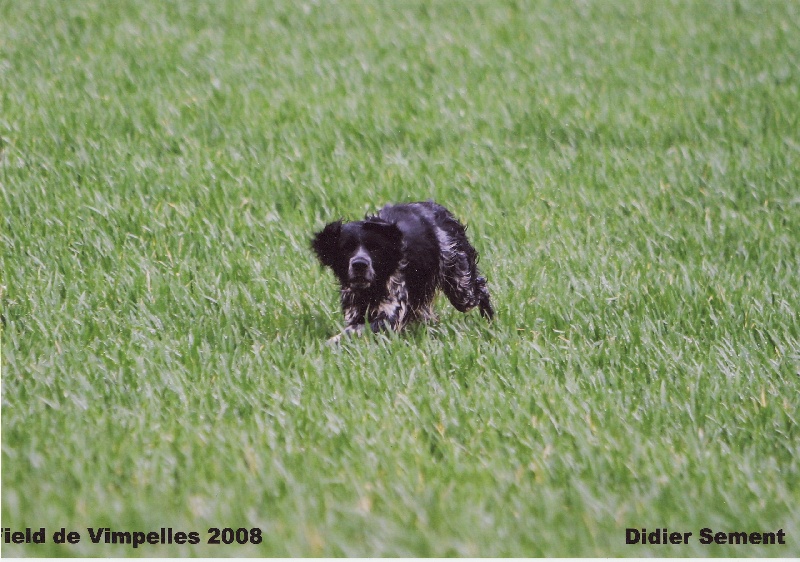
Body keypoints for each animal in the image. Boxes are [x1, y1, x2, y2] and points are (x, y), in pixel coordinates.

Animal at [311, 201, 493, 342]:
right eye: (346, 248)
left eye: (375, 248)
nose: (360, 264)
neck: (371, 290)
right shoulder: (355, 310)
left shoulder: (389, 314)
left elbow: (356, 330)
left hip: (461, 287)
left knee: (481, 288)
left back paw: (490, 320)